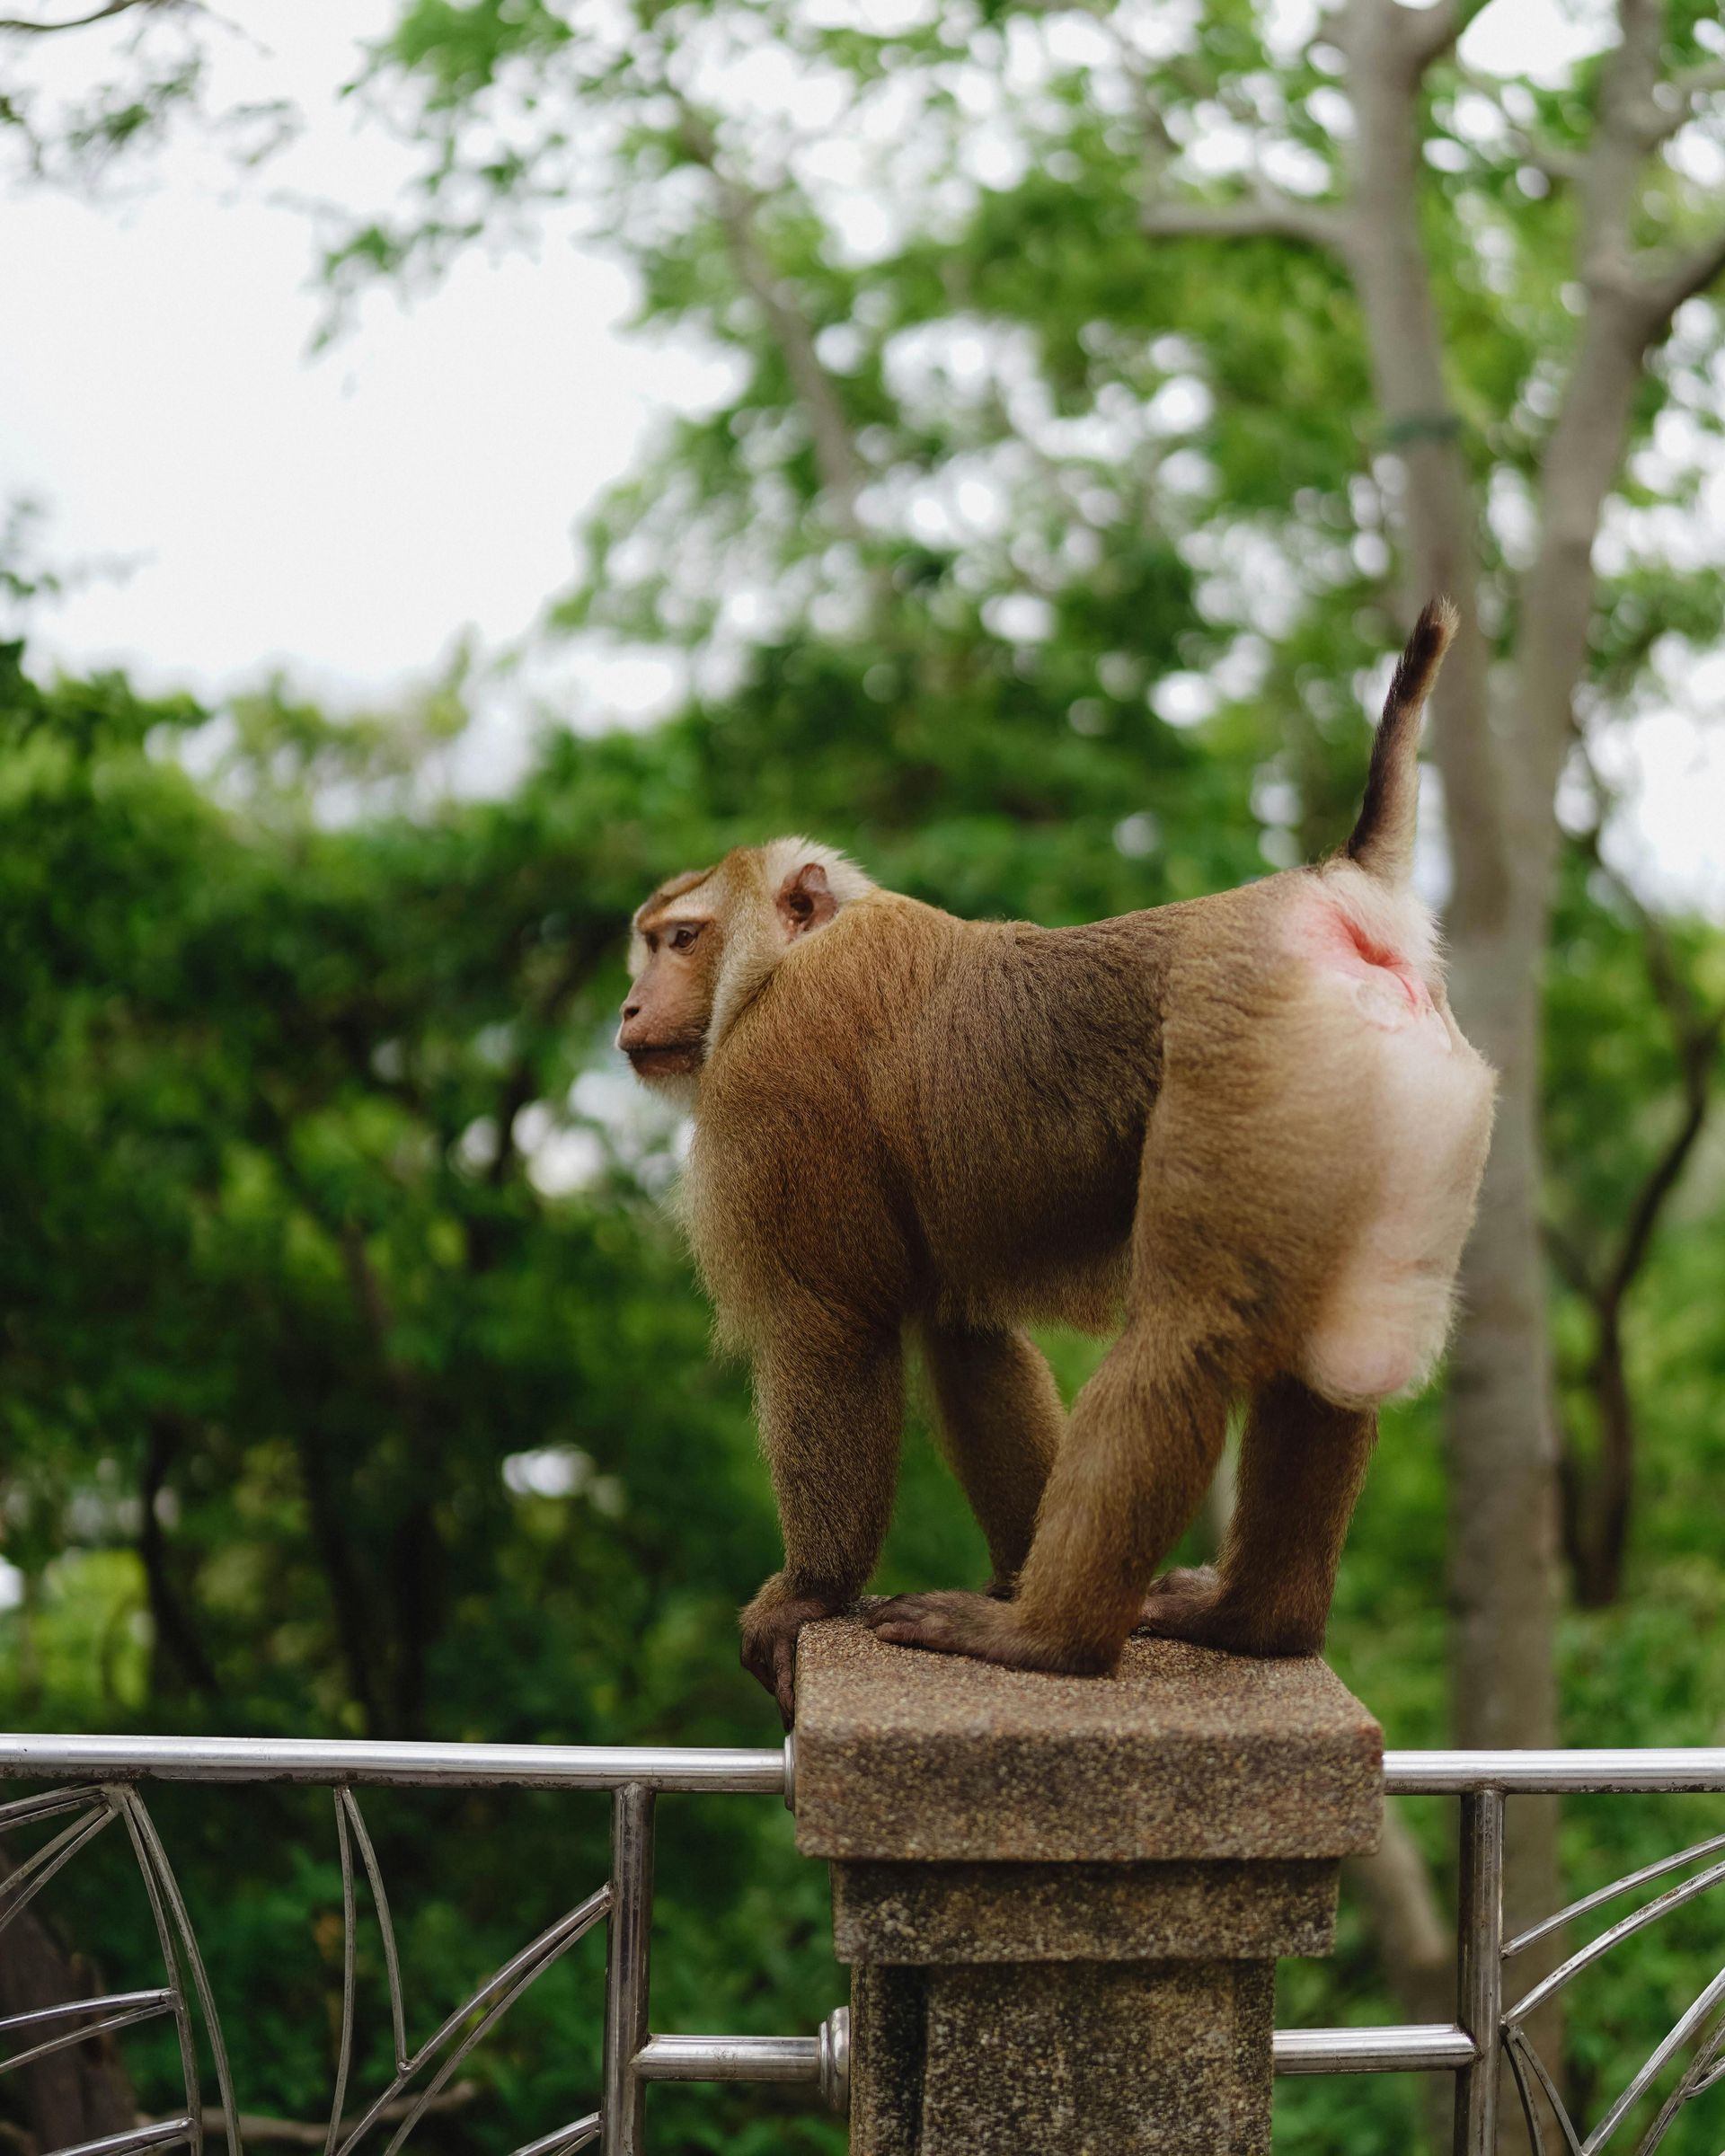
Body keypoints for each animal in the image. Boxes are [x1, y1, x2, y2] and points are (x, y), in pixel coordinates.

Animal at [621, 604, 1491, 1716]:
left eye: (681, 940)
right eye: (650, 944)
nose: (629, 1008)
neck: (788, 961)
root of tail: (1336, 899)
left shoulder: (774, 1079)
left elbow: (832, 1328)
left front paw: (809, 1595)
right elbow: (963, 1332)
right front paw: (1011, 1561)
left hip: (1254, 1058)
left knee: (1184, 1335)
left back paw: (1048, 1639)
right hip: (1404, 1111)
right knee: (1334, 1358)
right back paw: (1252, 1623)